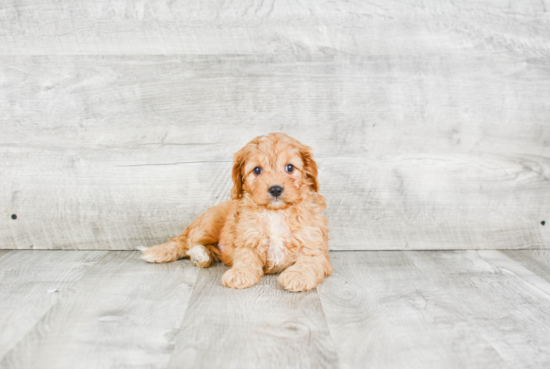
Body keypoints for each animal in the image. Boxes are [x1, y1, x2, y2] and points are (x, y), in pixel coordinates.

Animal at [141, 132, 332, 290]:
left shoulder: (315, 247)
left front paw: (297, 276)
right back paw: (197, 254)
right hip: (209, 222)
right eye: (257, 170)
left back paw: (202, 256)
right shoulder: (246, 239)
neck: (275, 212)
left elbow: (309, 261)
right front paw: (240, 274)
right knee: (185, 243)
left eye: (290, 167)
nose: (276, 189)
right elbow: (245, 258)